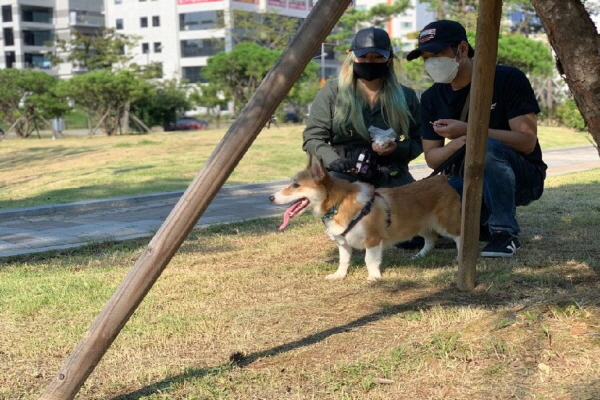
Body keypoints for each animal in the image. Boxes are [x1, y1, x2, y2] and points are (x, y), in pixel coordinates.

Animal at [270, 153, 462, 282]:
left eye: (296, 185)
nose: (270, 198)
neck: (338, 203)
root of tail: (443, 180)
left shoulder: (372, 240)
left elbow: (369, 260)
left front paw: (374, 278)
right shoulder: (343, 242)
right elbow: (343, 261)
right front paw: (339, 275)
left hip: (445, 223)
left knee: (459, 238)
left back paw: (460, 258)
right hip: (421, 225)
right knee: (431, 239)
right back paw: (418, 257)